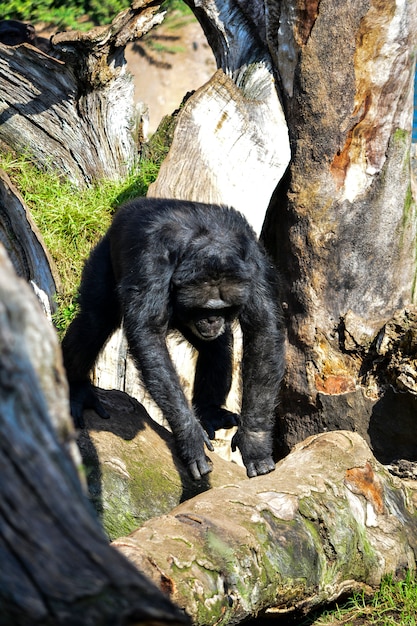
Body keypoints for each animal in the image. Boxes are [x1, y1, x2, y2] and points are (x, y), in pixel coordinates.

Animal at [61, 197, 284, 480]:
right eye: (204, 308)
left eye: (222, 308)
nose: (212, 320)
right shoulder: (152, 260)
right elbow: (148, 333)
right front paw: (190, 436)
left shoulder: (254, 265)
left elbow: (263, 329)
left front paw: (254, 441)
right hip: (105, 251)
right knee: (95, 319)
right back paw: (77, 389)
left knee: (217, 345)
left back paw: (210, 412)